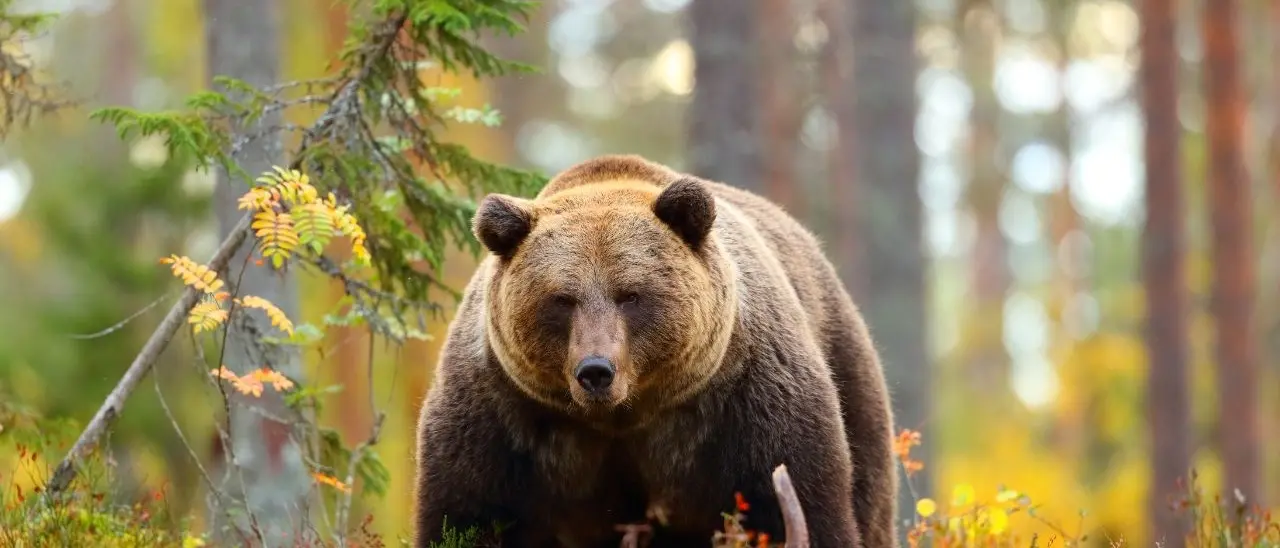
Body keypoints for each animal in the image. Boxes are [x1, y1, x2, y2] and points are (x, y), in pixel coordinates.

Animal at [413, 154, 897, 548]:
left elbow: (801, 503)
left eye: (630, 294)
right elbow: (465, 513)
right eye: (562, 298)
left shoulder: (747, 401)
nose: (596, 370)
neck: (624, 415)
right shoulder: (502, 416)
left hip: (848, 369)